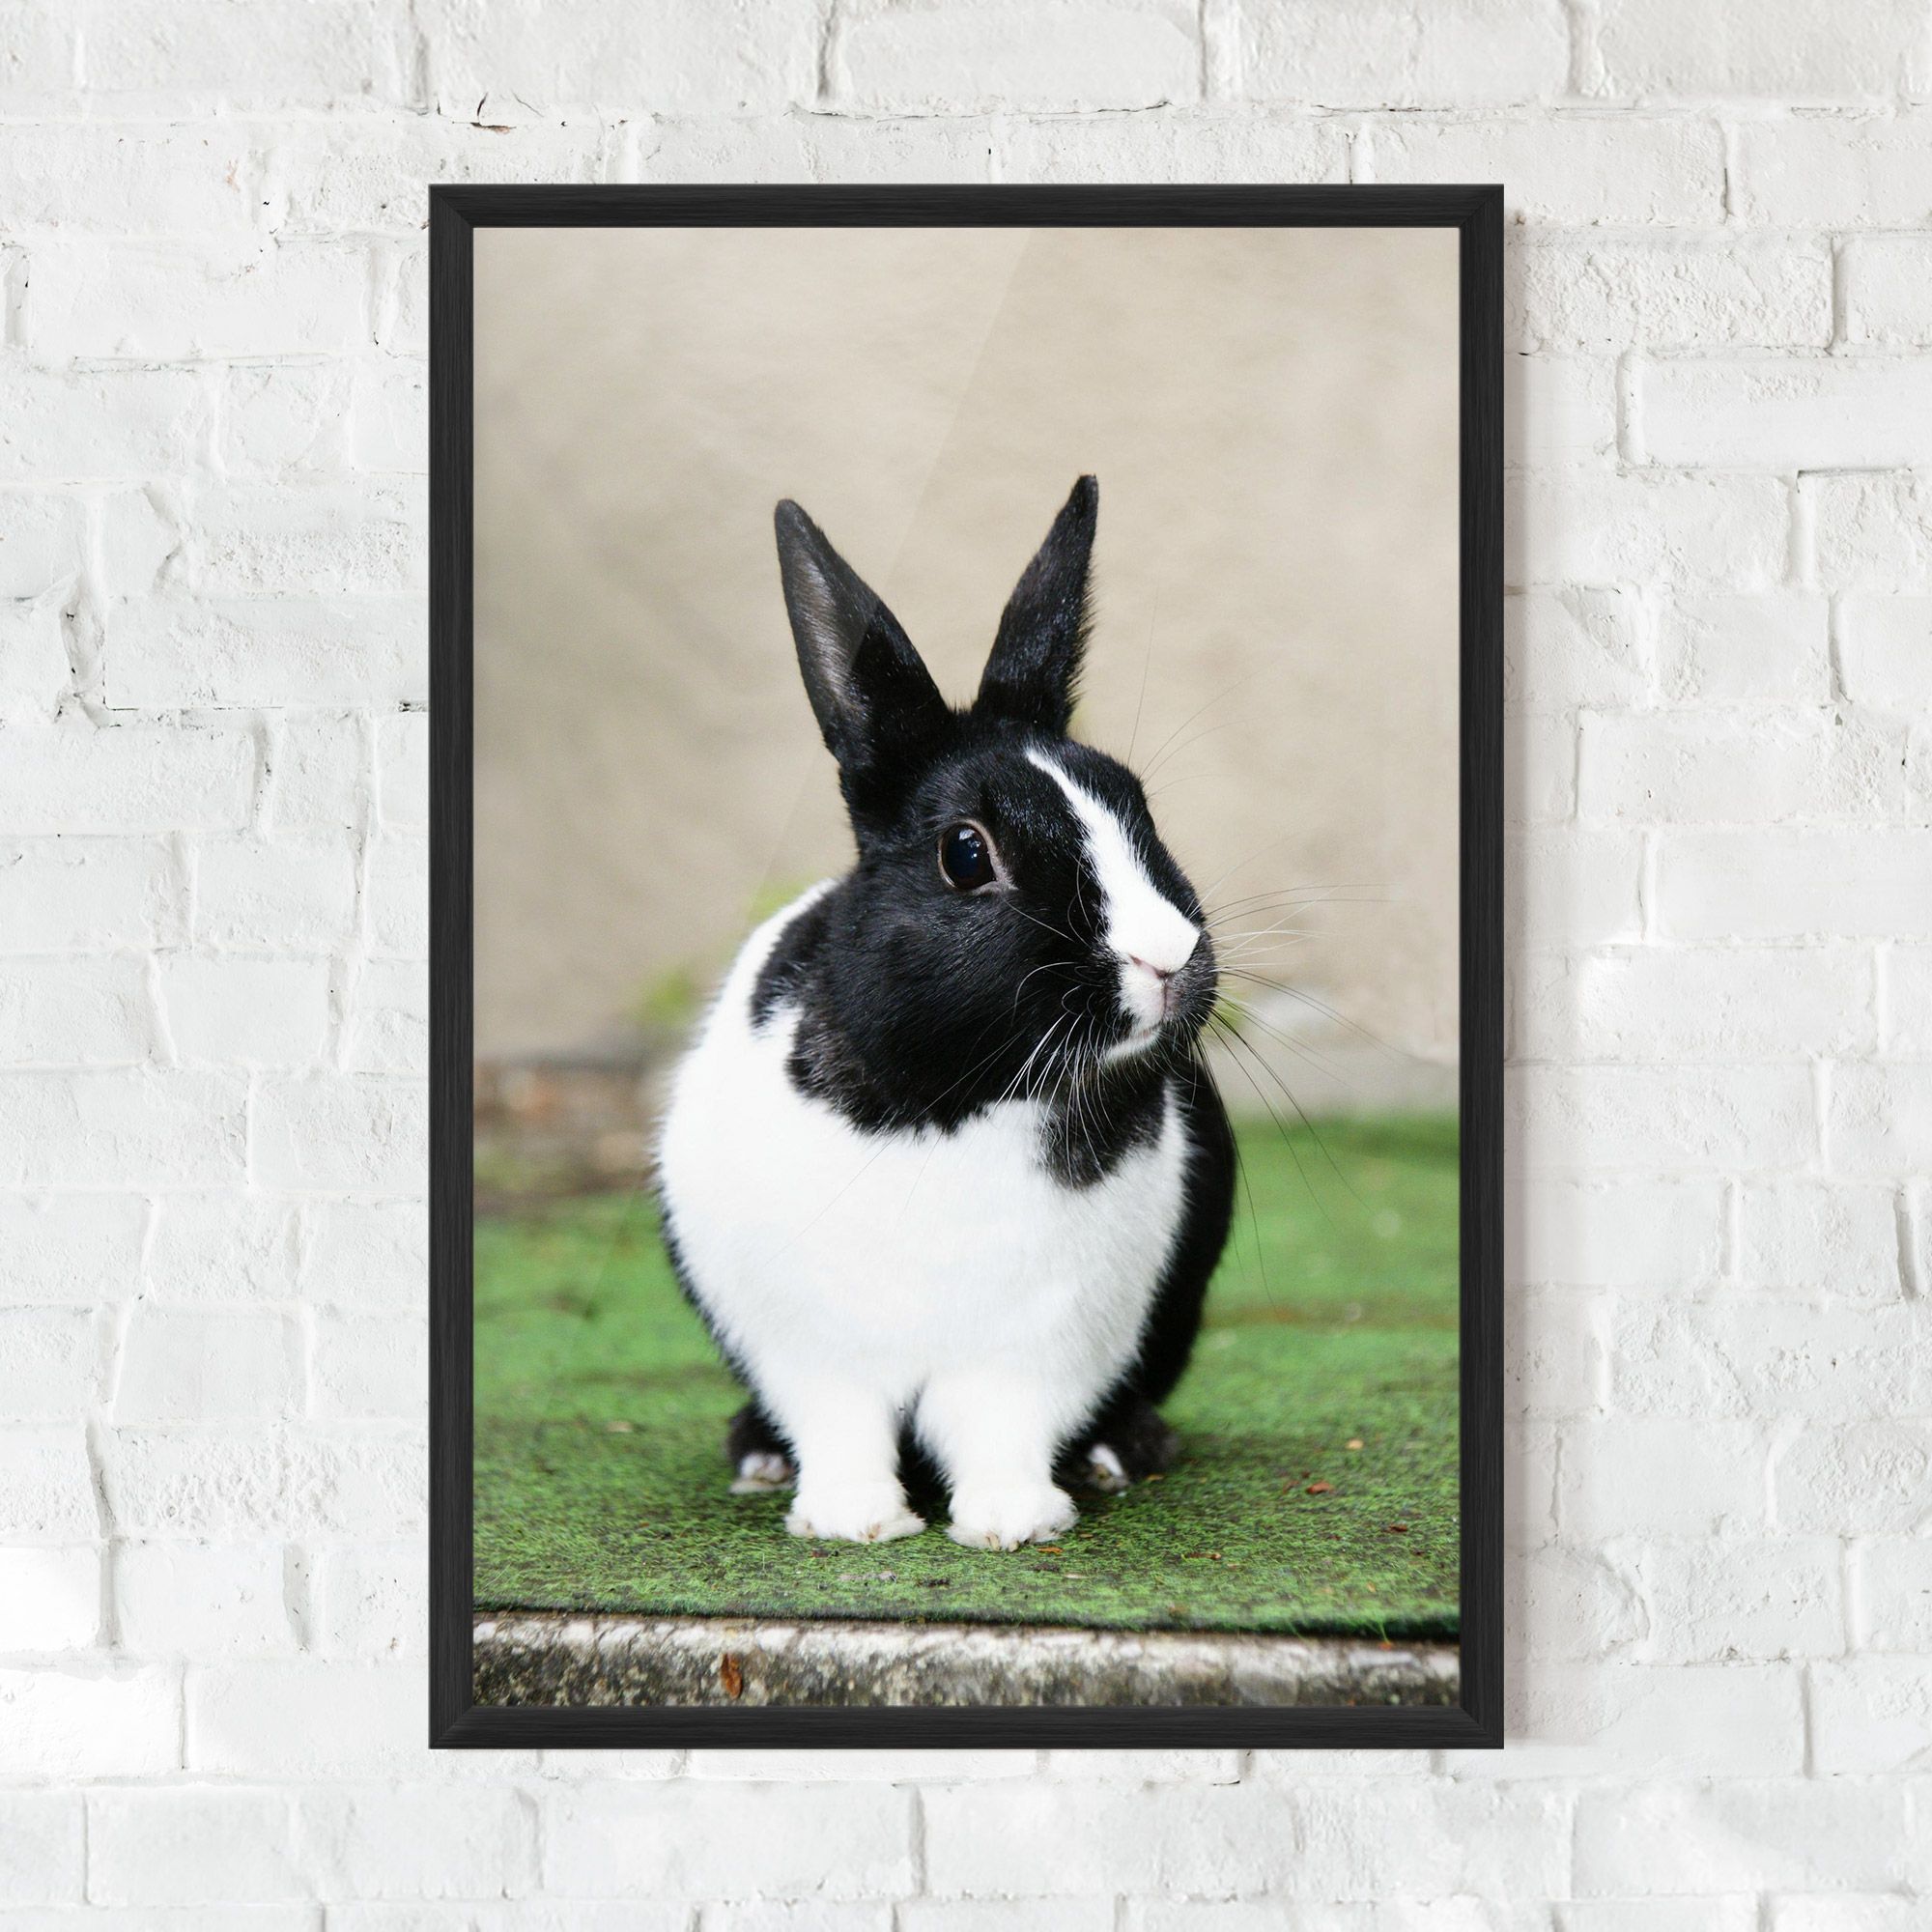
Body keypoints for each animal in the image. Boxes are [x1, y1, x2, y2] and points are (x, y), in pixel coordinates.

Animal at [656, 476, 1235, 1549]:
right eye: (967, 854)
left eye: (1136, 804)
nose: (1169, 957)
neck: (954, 1099)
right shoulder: (813, 1349)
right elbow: (840, 1427)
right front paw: (852, 1522)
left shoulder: (1035, 1346)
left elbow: (1001, 1428)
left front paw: (1012, 1522)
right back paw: (757, 1456)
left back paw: (1120, 1451)